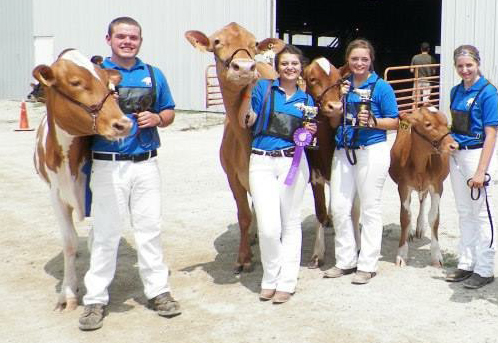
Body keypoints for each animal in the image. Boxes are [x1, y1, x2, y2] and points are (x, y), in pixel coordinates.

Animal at [34, 49, 133, 312]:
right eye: (75, 82)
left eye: (109, 84)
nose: (124, 123)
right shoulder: (55, 196)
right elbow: (69, 242)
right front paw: (68, 293)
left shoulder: (99, 194)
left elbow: (97, 240)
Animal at [185, 22, 286, 274]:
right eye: (217, 42)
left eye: (254, 43)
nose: (245, 67)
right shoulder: (231, 176)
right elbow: (243, 215)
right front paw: (244, 257)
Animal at [392, 106, 458, 268]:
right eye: (428, 124)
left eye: (446, 122)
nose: (454, 146)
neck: (420, 164)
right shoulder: (403, 186)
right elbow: (405, 217)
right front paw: (402, 254)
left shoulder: (437, 186)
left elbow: (434, 218)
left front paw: (436, 255)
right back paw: (410, 232)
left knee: (423, 200)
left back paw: (420, 227)